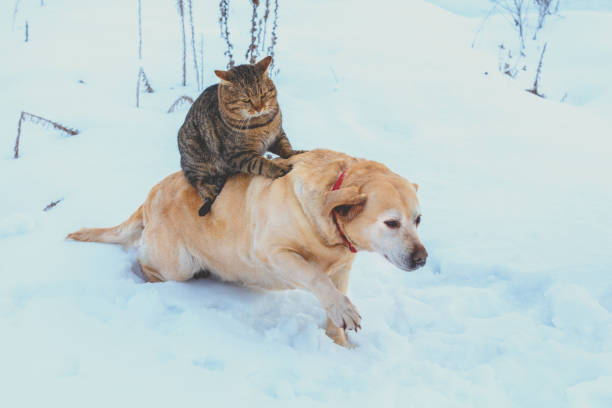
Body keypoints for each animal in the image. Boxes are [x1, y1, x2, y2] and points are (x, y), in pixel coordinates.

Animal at [68, 148, 426, 346]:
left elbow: (332, 299)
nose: (422, 259)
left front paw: (340, 343)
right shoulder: (275, 252)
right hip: (176, 265)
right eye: (391, 223)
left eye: (418, 220)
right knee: (146, 264)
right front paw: (343, 311)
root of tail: (148, 197)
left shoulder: (342, 269)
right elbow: (315, 277)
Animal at [176, 57, 302, 218]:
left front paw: (296, 152)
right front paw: (278, 168)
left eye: (263, 94)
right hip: (194, 153)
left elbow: (286, 147)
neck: (262, 123)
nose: (259, 108)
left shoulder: (277, 135)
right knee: (197, 182)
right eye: (246, 100)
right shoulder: (238, 154)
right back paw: (209, 190)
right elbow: (260, 163)